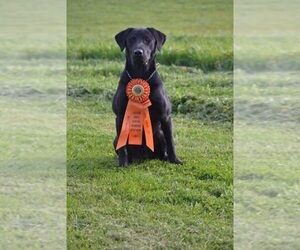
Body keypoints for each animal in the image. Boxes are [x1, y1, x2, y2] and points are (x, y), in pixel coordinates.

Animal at [112, 27, 182, 167]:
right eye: (131, 39)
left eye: (147, 39)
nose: (138, 52)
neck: (140, 75)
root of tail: (143, 156)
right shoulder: (120, 116)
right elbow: (122, 147)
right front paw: (122, 163)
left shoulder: (166, 116)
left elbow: (171, 142)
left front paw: (175, 160)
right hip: (115, 139)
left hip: (160, 134)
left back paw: (165, 158)